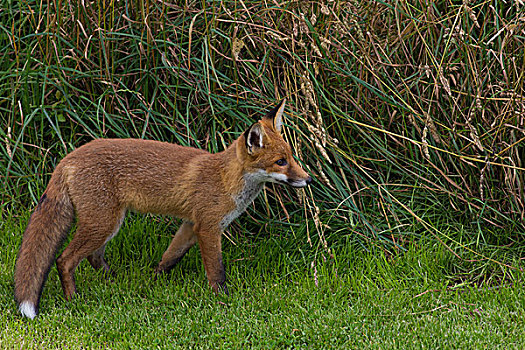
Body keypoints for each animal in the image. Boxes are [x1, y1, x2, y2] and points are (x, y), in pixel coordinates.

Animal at [14, 100, 314, 318]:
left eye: (292, 157)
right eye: (280, 162)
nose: (309, 179)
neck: (224, 179)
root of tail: (67, 158)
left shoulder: (190, 225)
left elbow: (170, 257)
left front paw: (154, 280)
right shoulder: (208, 227)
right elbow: (216, 270)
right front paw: (222, 299)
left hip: (107, 224)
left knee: (93, 257)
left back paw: (114, 281)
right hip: (103, 223)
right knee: (64, 260)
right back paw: (74, 299)